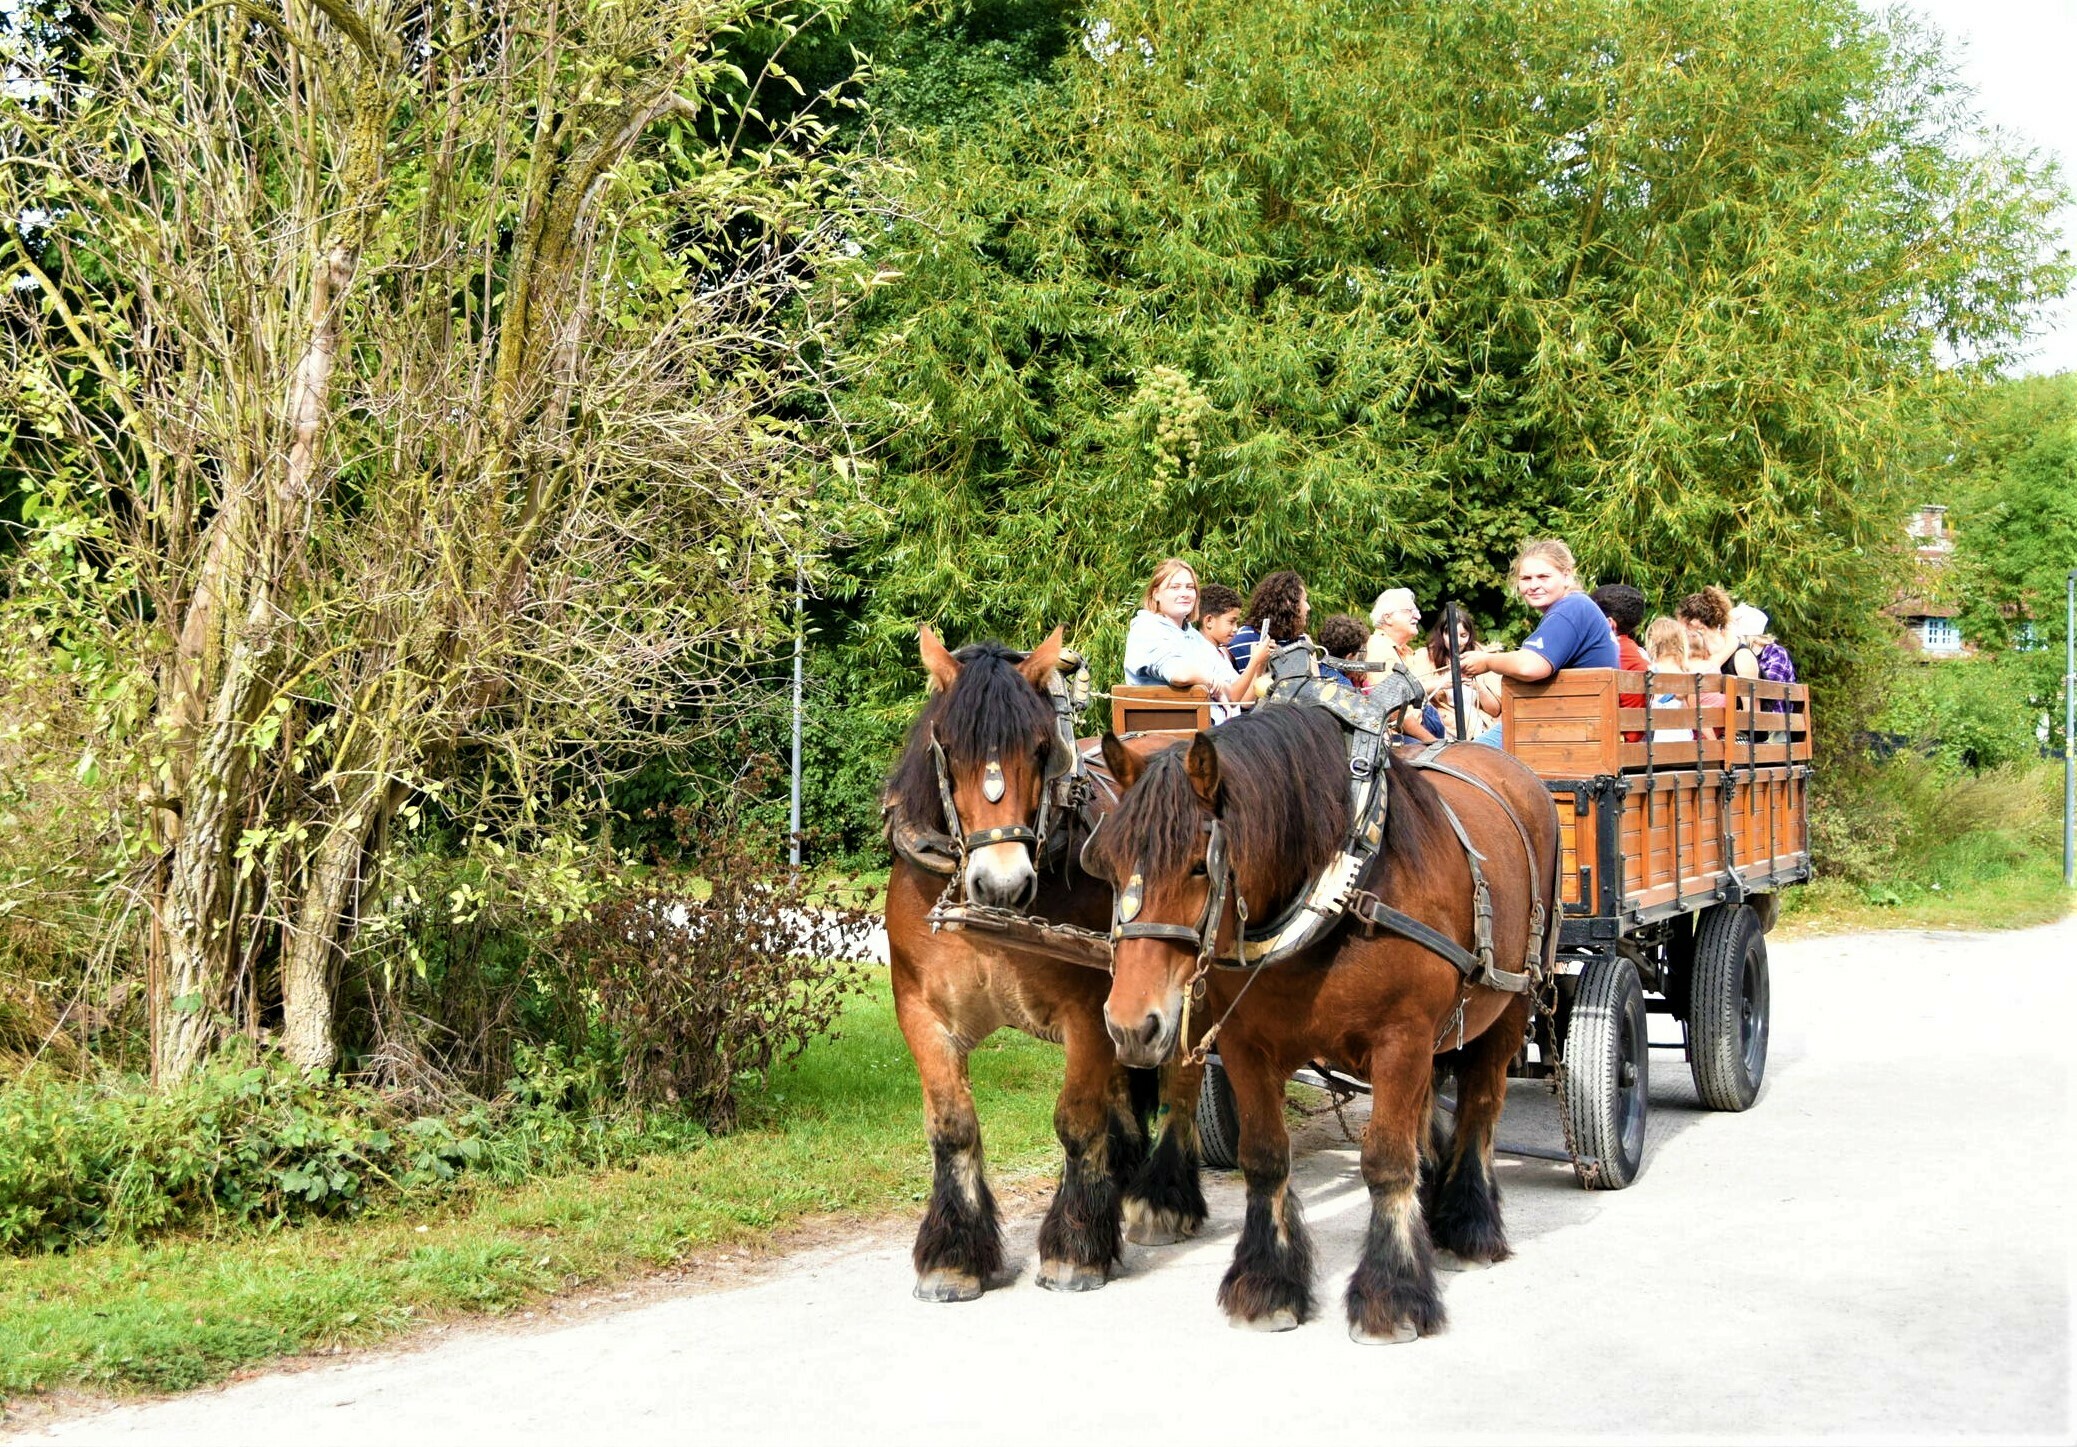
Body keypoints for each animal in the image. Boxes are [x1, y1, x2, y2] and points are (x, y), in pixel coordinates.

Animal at [884, 626, 1212, 1303]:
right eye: (948, 746)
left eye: (1040, 749)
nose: (1001, 883)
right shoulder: (922, 1012)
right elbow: (952, 1125)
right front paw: (955, 1254)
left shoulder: (1089, 1012)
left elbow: (1076, 1121)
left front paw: (1075, 1246)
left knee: (1180, 1083)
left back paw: (1163, 1198)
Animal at [1088, 705, 1561, 1336]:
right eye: (1111, 867)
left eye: (1197, 867)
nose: (1130, 1025)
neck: (1340, 888)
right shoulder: (1245, 1044)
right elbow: (1264, 1159)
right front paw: (1266, 1284)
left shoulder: (1402, 1040)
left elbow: (1386, 1161)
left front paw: (1392, 1294)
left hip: (1511, 1004)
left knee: (1480, 1109)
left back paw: (1468, 1227)